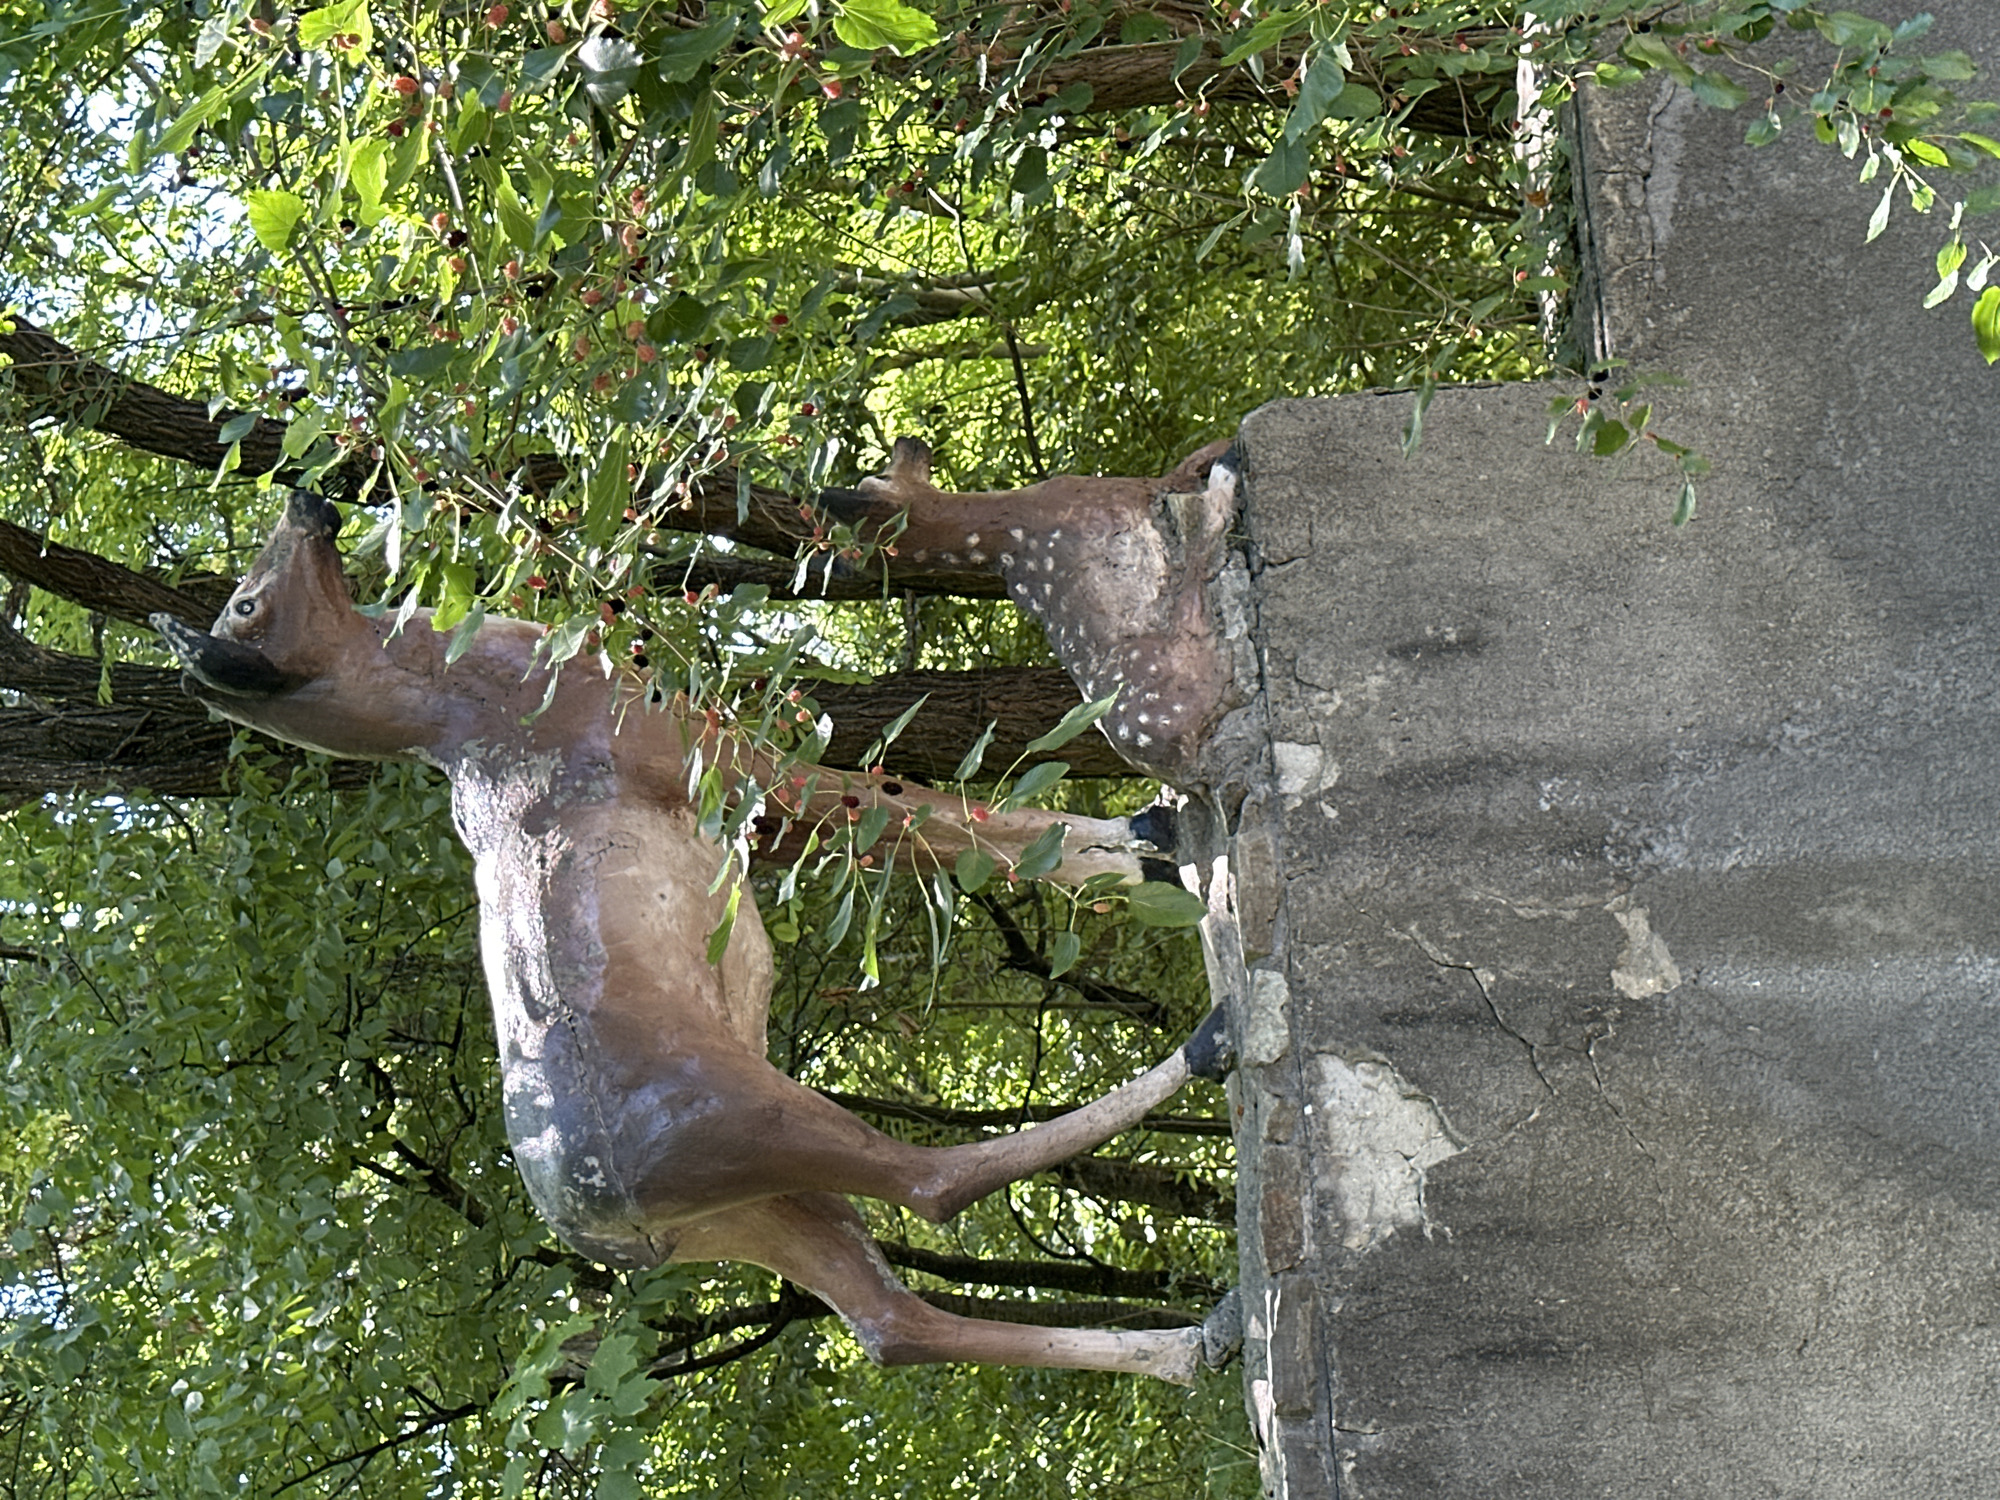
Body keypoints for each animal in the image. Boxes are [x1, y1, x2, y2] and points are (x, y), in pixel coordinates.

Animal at [152, 438, 1243, 1384]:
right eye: (247, 600)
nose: (306, 498)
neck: (464, 704)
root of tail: (597, 1224)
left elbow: (926, 826)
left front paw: (1150, 838)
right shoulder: (722, 761)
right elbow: (920, 812)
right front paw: (1154, 847)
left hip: (752, 1212)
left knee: (890, 1324)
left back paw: (1199, 1343)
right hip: (742, 1123)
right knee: (924, 1186)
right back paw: (1210, 1045)